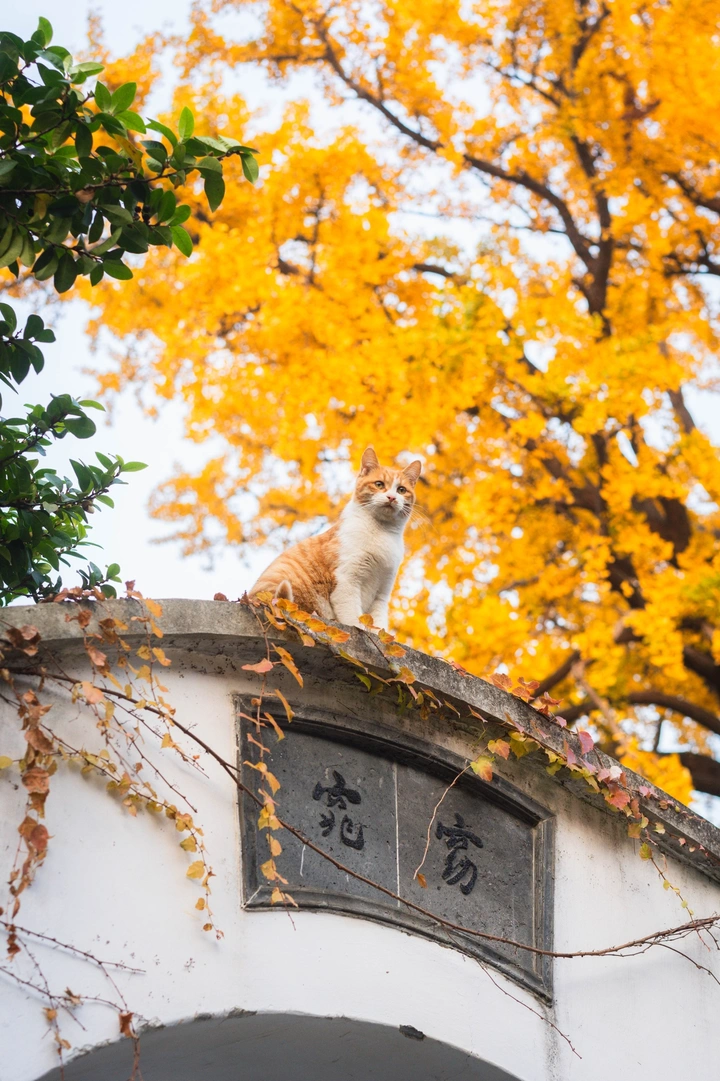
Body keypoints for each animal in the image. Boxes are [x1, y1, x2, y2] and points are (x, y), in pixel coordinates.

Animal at [249, 447, 422, 629]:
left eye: (401, 490)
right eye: (379, 484)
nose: (392, 497)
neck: (382, 531)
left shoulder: (382, 593)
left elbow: (378, 625)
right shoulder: (347, 579)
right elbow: (353, 619)